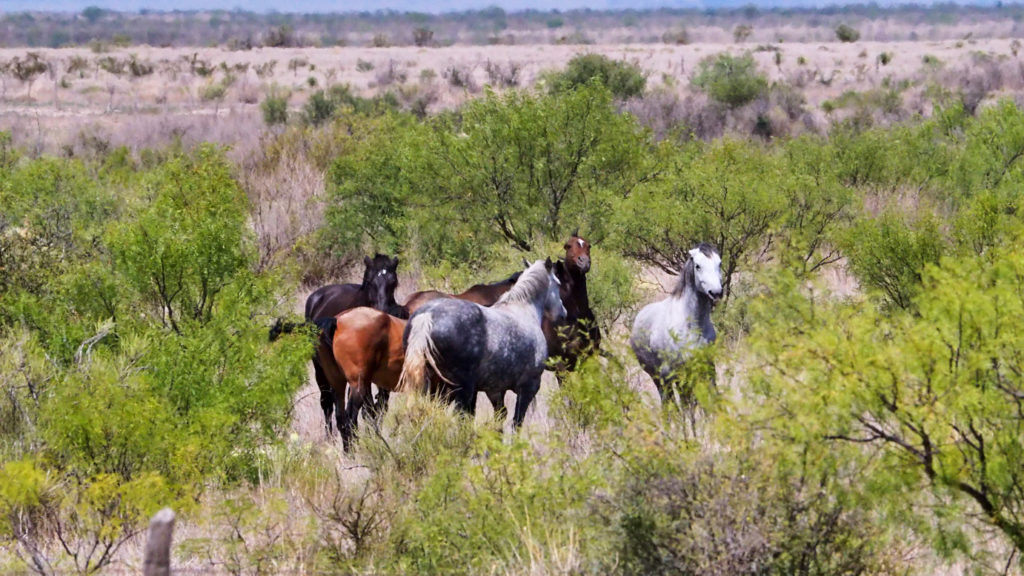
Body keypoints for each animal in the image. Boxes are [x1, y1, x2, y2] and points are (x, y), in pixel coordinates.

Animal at [398, 259, 566, 428]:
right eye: (558, 283)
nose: (563, 313)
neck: (523, 310)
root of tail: (427, 316)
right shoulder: (528, 388)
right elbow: (516, 422)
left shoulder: (495, 390)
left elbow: (500, 416)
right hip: (459, 389)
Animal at [630, 243, 723, 405]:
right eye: (697, 266)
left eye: (719, 263)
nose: (716, 293)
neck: (692, 327)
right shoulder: (671, 374)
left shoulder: (707, 367)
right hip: (659, 378)